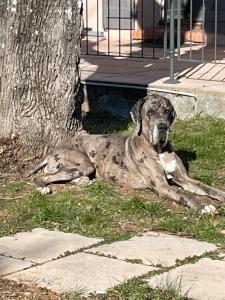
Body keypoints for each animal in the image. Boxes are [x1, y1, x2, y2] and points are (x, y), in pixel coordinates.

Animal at [28, 94, 225, 213]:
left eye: (167, 111)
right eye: (150, 112)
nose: (162, 126)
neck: (158, 149)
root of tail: (55, 149)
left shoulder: (184, 179)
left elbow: (206, 187)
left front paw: (220, 194)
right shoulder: (162, 186)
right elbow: (184, 194)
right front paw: (203, 206)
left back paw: (82, 181)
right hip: (84, 163)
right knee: (43, 177)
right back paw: (43, 187)